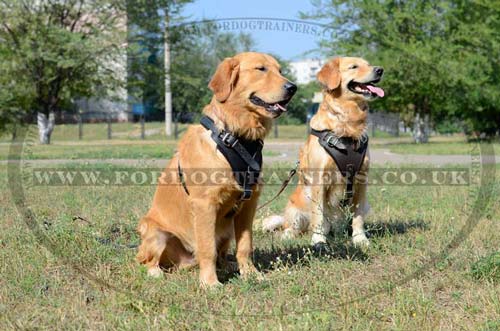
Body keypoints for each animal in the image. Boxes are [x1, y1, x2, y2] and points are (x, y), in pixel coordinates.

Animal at [136, 52, 296, 288]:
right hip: (155, 231)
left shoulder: (248, 203)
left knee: (222, 254)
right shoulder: (205, 204)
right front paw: (210, 283)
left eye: (280, 70)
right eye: (261, 69)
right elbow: (207, 249)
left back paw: (229, 266)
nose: (293, 87)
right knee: (148, 260)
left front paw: (250, 274)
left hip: (227, 228)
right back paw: (155, 271)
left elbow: (245, 245)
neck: (236, 135)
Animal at [264, 57, 384, 249]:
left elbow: (357, 217)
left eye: (368, 64)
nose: (380, 70)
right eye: (354, 66)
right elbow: (319, 216)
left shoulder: (361, 180)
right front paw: (318, 240)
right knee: (292, 226)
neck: (346, 125)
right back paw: (290, 235)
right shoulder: (319, 178)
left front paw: (360, 239)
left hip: (365, 204)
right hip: (297, 203)